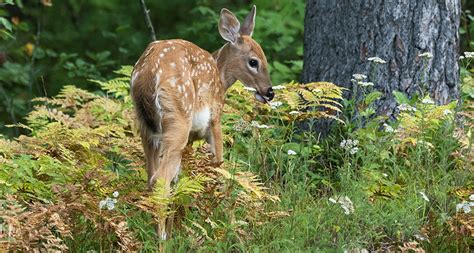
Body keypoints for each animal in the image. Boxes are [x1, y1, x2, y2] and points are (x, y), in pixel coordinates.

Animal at [131, 5, 274, 239]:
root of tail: (147, 73)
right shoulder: (214, 120)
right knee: (160, 180)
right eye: (254, 61)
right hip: (178, 117)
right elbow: (221, 171)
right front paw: (232, 227)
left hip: (148, 129)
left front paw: (176, 227)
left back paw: (159, 235)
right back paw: (161, 240)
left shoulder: (190, 138)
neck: (221, 79)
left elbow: (180, 179)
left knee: (152, 179)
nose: (269, 92)